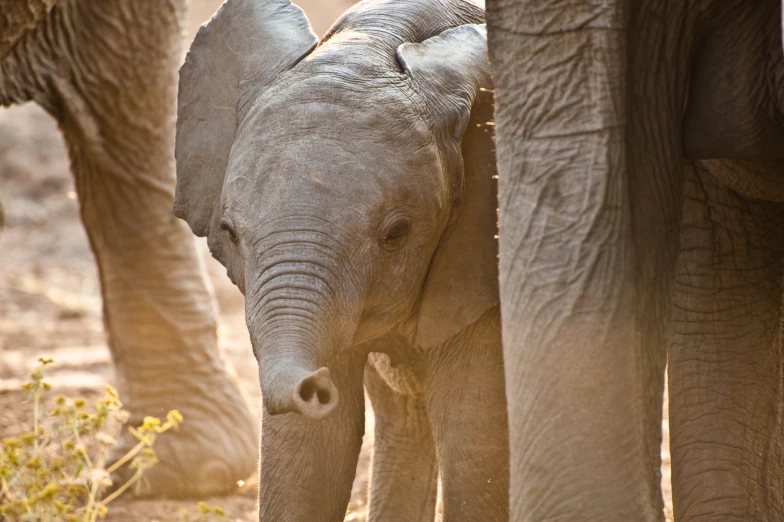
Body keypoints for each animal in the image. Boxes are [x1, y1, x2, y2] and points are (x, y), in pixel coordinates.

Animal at [175, 0, 508, 516]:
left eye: (396, 234)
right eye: (229, 233)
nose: (312, 386)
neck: (378, 38)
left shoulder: (482, 259)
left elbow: (474, 434)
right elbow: (314, 453)